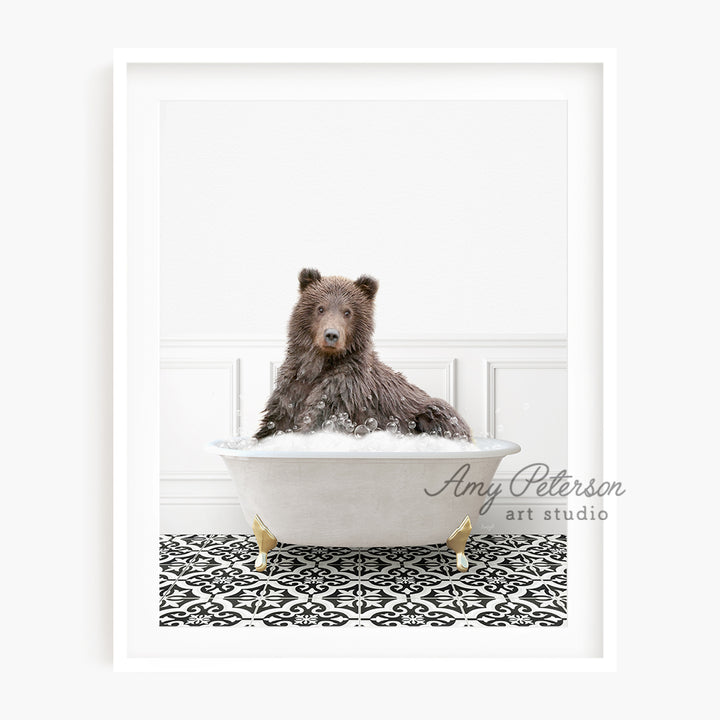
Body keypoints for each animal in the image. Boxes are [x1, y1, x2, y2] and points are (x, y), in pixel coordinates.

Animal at [253, 268, 472, 442]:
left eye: (347, 312)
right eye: (320, 308)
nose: (331, 335)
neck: (320, 365)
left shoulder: (344, 391)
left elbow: (319, 419)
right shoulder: (292, 388)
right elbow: (275, 423)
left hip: (429, 411)